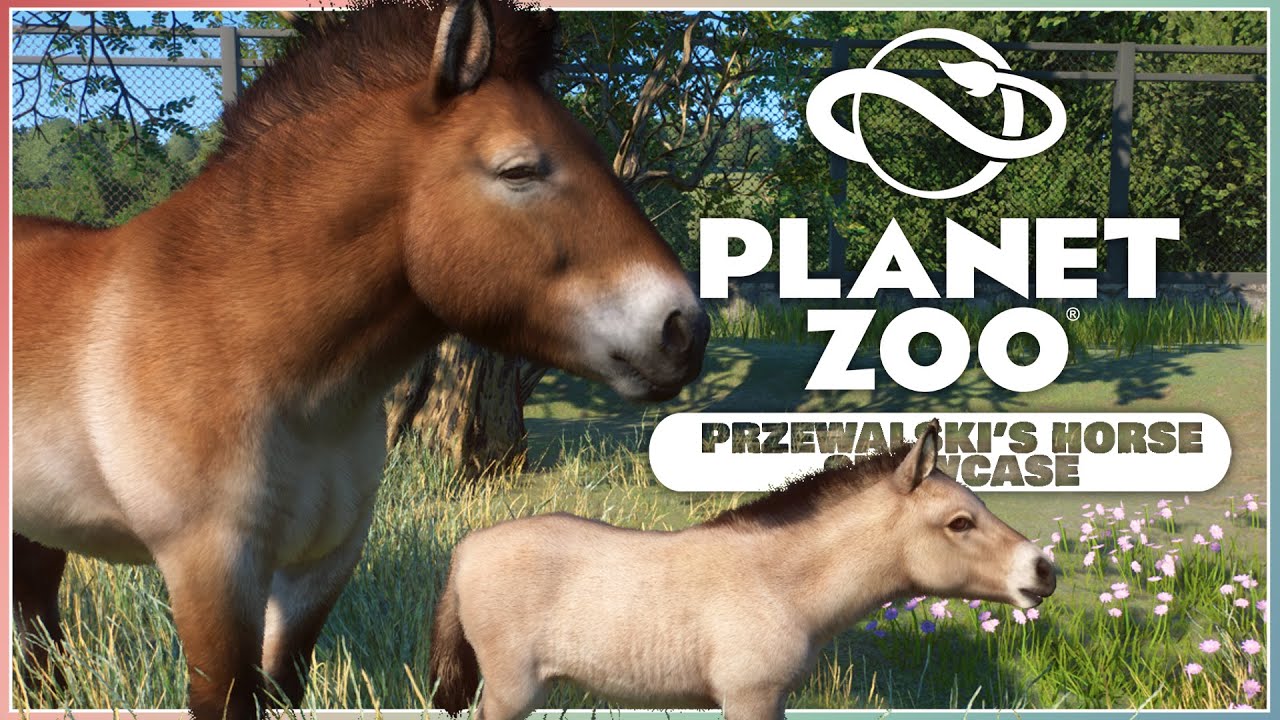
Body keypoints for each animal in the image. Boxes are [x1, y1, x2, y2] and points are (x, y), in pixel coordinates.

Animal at [428, 420, 1057, 720]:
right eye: (959, 523)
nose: (1044, 570)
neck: (778, 582)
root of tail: (466, 550)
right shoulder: (750, 698)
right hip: (511, 692)